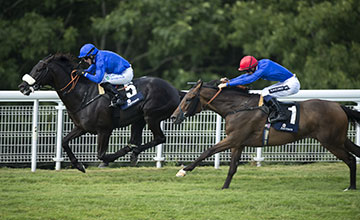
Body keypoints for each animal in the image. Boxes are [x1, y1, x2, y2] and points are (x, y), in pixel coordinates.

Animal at [18, 54, 184, 173]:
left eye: (39, 69)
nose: (22, 87)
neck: (83, 94)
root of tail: (175, 90)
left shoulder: (104, 129)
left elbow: (101, 155)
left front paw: (107, 160)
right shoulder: (82, 128)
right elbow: (64, 141)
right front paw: (79, 165)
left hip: (151, 115)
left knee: (160, 138)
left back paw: (133, 150)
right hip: (139, 119)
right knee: (138, 139)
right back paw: (134, 153)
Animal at [170, 80, 360, 190]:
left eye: (189, 98)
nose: (173, 117)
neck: (238, 107)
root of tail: (338, 106)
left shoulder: (233, 139)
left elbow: (208, 151)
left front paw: (183, 170)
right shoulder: (239, 143)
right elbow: (232, 168)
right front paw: (225, 187)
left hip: (331, 142)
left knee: (351, 159)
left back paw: (351, 187)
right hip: (340, 139)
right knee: (355, 154)